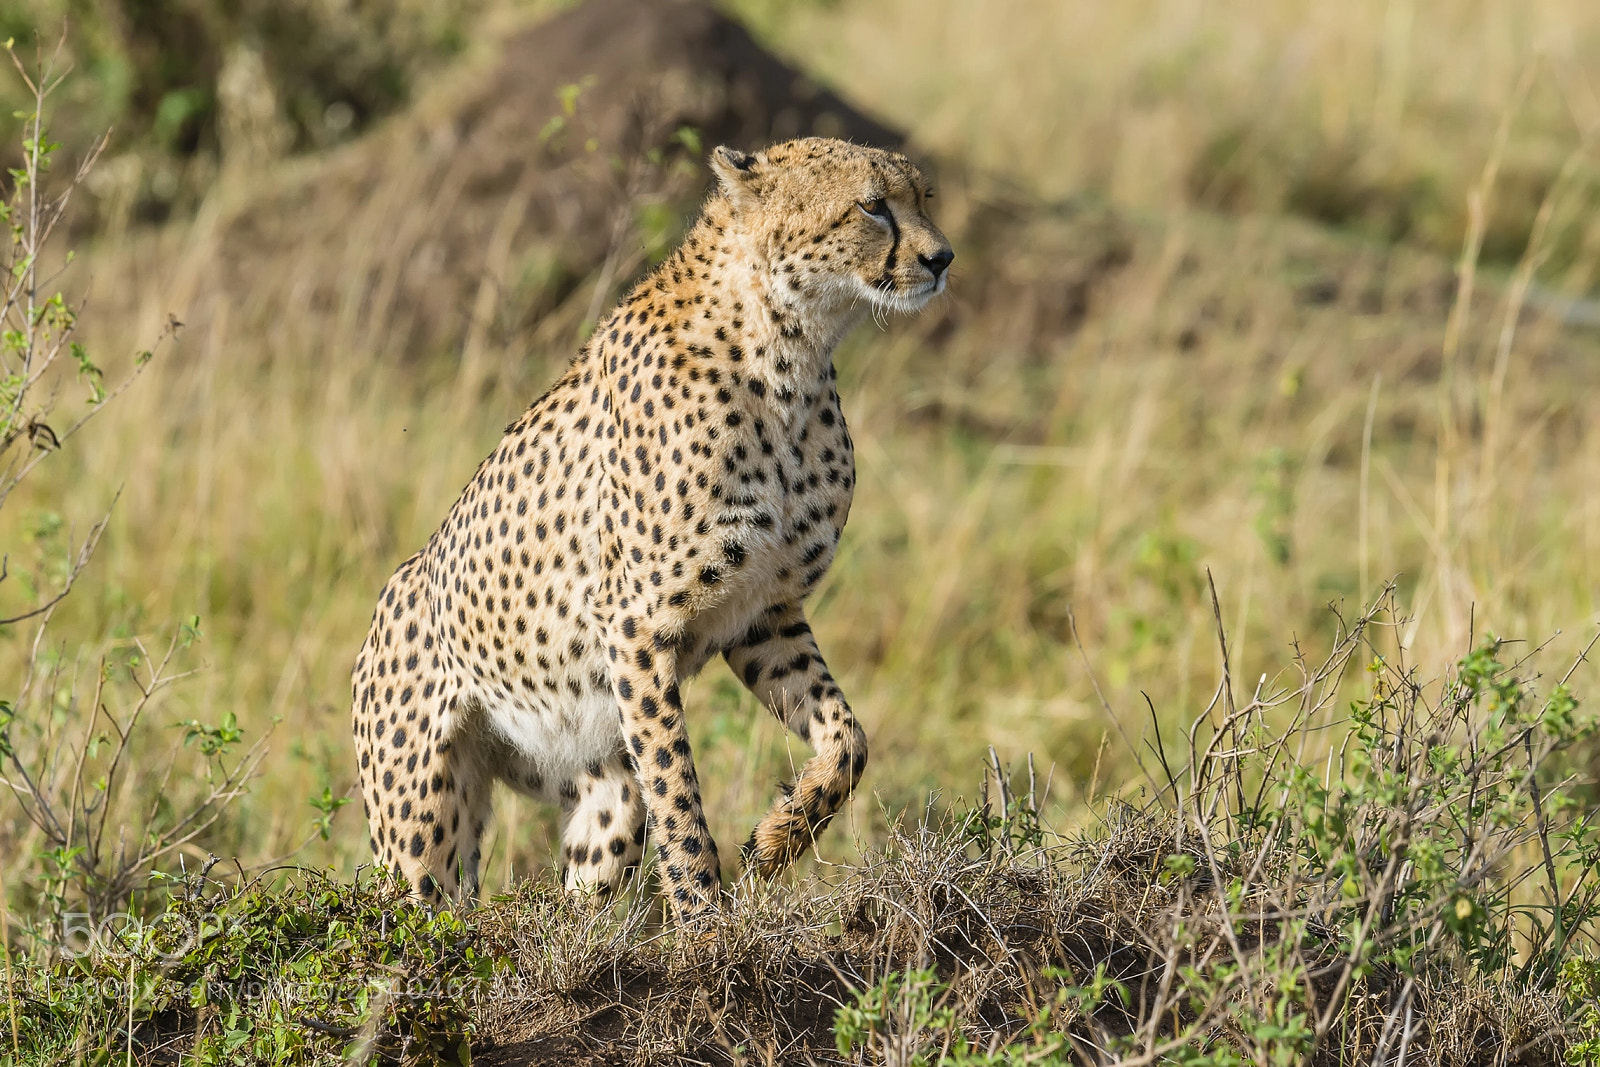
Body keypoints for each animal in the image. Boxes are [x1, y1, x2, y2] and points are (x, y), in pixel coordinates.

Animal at [351, 136, 954, 924]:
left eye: (924, 199)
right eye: (874, 205)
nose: (943, 258)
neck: (789, 353)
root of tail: (391, 590)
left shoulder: (763, 611)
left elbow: (849, 740)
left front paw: (777, 839)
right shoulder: (638, 625)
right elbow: (676, 786)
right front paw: (703, 919)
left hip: (600, 783)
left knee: (591, 873)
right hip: (423, 823)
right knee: (416, 906)